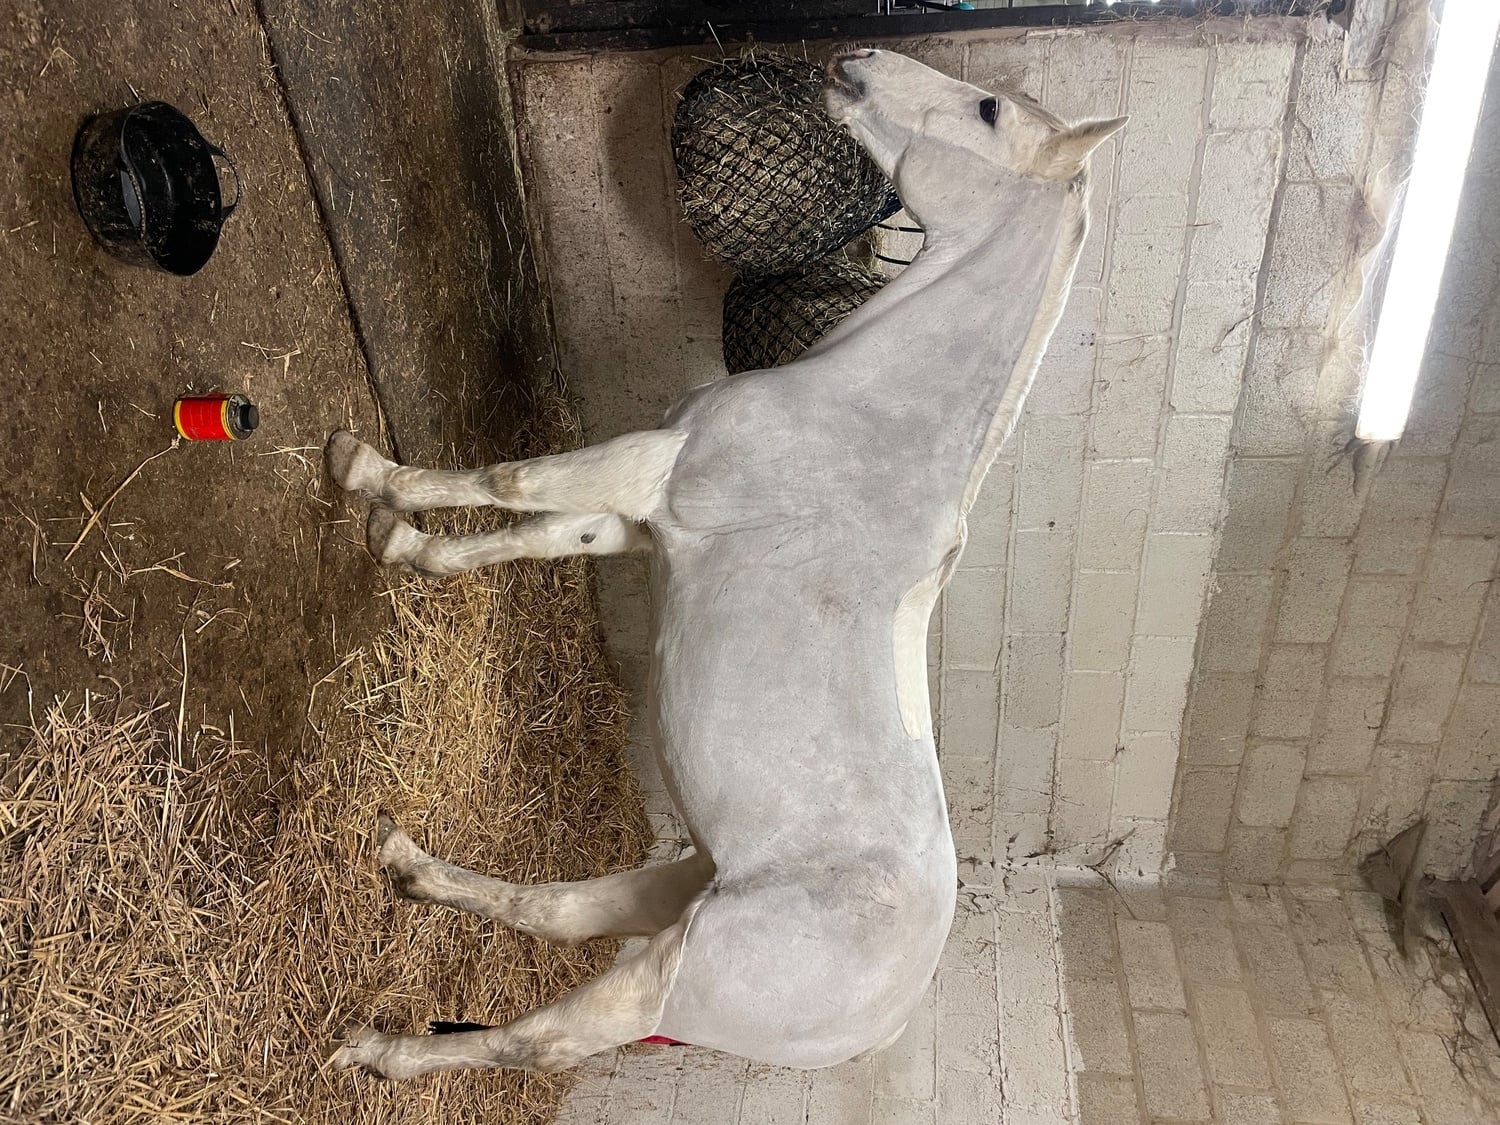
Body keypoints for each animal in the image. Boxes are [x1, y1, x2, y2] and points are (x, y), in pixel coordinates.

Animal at [326, 47, 1123, 1080]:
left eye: (987, 109)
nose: (856, 62)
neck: (870, 424)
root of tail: (876, 1023)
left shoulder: (650, 469)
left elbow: (511, 478)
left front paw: (363, 474)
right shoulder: (644, 521)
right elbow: (532, 533)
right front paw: (404, 544)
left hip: (661, 973)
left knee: (538, 1039)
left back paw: (376, 1052)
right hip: (678, 883)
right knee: (559, 908)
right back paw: (404, 863)